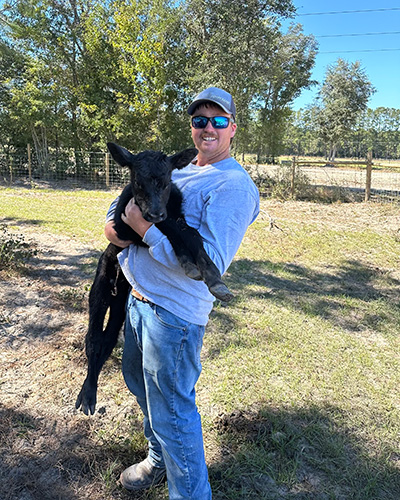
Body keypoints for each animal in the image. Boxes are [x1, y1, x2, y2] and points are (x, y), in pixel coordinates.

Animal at [75, 142, 233, 414]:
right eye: (138, 181)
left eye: (167, 181)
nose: (154, 213)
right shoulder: (125, 223)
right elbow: (178, 230)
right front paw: (199, 269)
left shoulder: (173, 216)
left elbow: (188, 232)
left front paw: (203, 272)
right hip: (100, 289)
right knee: (93, 339)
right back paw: (88, 396)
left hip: (119, 305)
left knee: (107, 340)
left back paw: (86, 391)